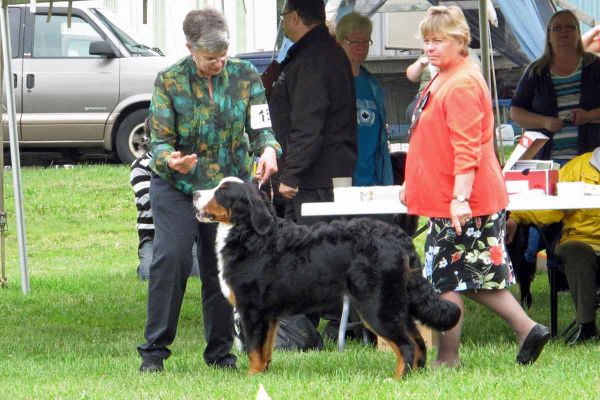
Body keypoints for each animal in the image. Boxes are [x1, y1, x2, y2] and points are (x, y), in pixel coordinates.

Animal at [192, 178, 460, 378]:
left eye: (221, 191)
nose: (194, 193)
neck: (249, 235)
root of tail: (398, 237)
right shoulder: (269, 314)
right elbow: (265, 350)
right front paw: (264, 376)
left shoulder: (252, 310)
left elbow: (254, 350)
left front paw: (252, 378)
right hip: (395, 303)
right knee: (418, 341)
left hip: (376, 306)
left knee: (407, 345)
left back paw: (396, 379)